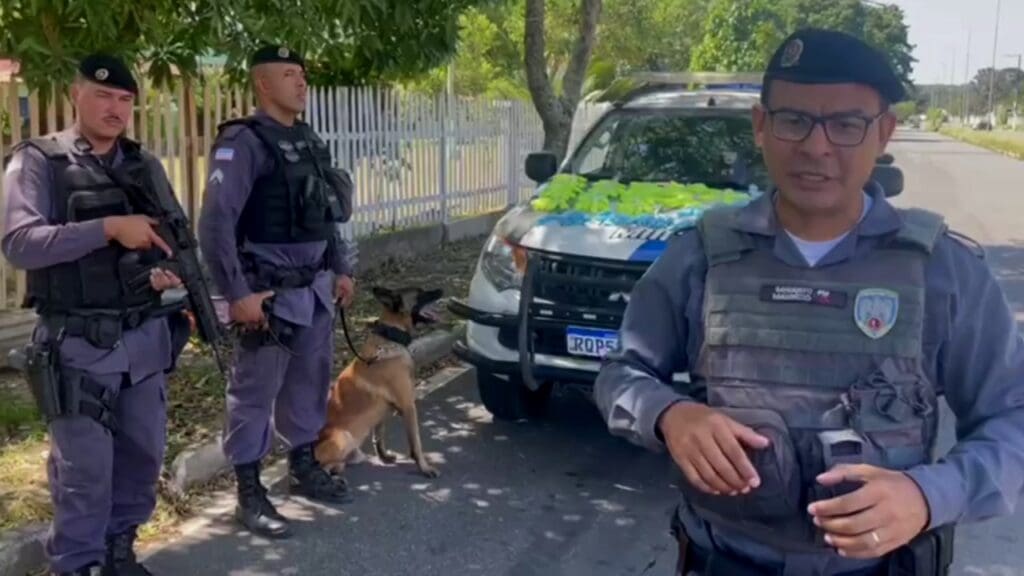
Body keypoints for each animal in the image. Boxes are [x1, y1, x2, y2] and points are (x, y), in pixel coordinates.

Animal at [315, 284, 444, 477]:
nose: (441, 290)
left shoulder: (383, 411)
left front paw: (383, 457)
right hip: (343, 437)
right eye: (420, 294)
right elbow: (416, 443)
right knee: (321, 466)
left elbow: (379, 436)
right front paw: (424, 467)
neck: (390, 338)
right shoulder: (408, 406)